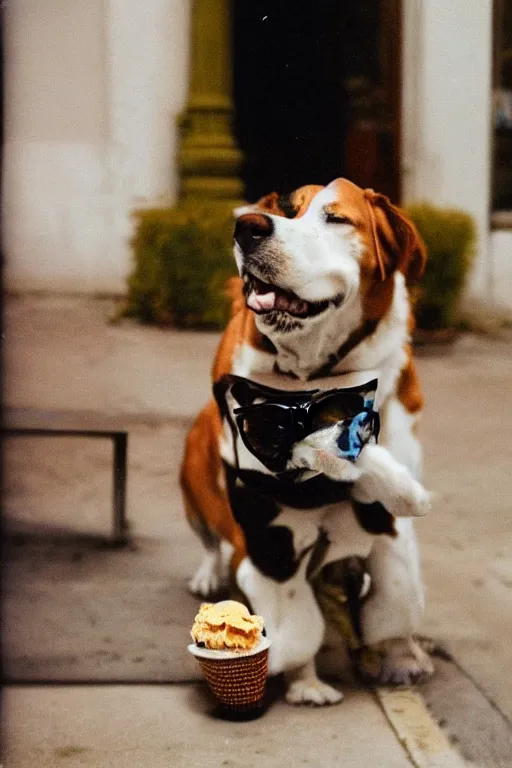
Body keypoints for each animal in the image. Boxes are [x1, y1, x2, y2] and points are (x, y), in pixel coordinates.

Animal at [182, 177, 434, 704]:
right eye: (283, 208)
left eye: (335, 218)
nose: (248, 226)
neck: (319, 381)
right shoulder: (268, 529)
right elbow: (295, 617)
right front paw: (301, 678)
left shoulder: (385, 517)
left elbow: (398, 588)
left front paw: (400, 658)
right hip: (193, 483)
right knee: (211, 539)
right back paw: (209, 574)